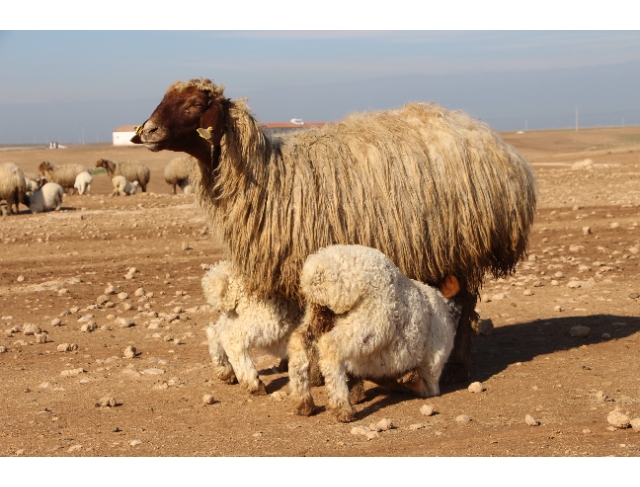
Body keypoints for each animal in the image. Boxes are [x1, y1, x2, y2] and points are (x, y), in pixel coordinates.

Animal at [201, 262, 302, 394]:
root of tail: (234, 283)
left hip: (235, 315)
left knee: (215, 332)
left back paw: (224, 370)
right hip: (264, 317)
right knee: (233, 341)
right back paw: (253, 383)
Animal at [288, 246, 460, 422]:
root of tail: (320, 269)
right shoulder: (431, 368)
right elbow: (422, 386)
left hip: (319, 313)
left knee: (298, 341)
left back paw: (303, 402)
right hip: (368, 324)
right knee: (331, 347)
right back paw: (342, 408)